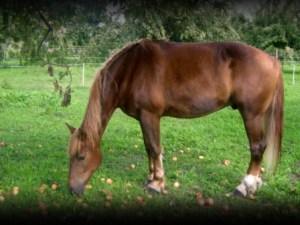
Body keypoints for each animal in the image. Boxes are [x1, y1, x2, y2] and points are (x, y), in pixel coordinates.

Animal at [65, 39, 284, 198]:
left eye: (81, 156)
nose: (72, 190)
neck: (131, 69)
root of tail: (273, 61)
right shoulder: (142, 118)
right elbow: (148, 147)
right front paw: (150, 178)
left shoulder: (150, 115)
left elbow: (155, 148)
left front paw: (156, 184)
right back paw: (255, 184)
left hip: (251, 116)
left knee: (257, 148)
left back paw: (244, 187)